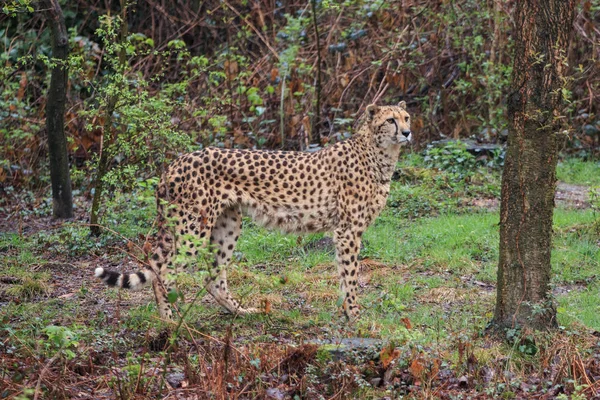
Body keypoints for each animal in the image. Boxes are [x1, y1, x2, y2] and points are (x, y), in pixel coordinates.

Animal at [95, 101, 412, 320]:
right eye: (390, 120)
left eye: (406, 118)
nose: (408, 132)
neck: (378, 154)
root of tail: (174, 163)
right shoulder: (347, 231)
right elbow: (350, 274)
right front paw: (355, 314)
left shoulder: (345, 231)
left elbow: (346, 275)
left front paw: (348, 312)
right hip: (193, 228)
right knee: (164, 271)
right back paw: (169, 322)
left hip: (227, 224)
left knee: (211, 276)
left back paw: (241, 312)